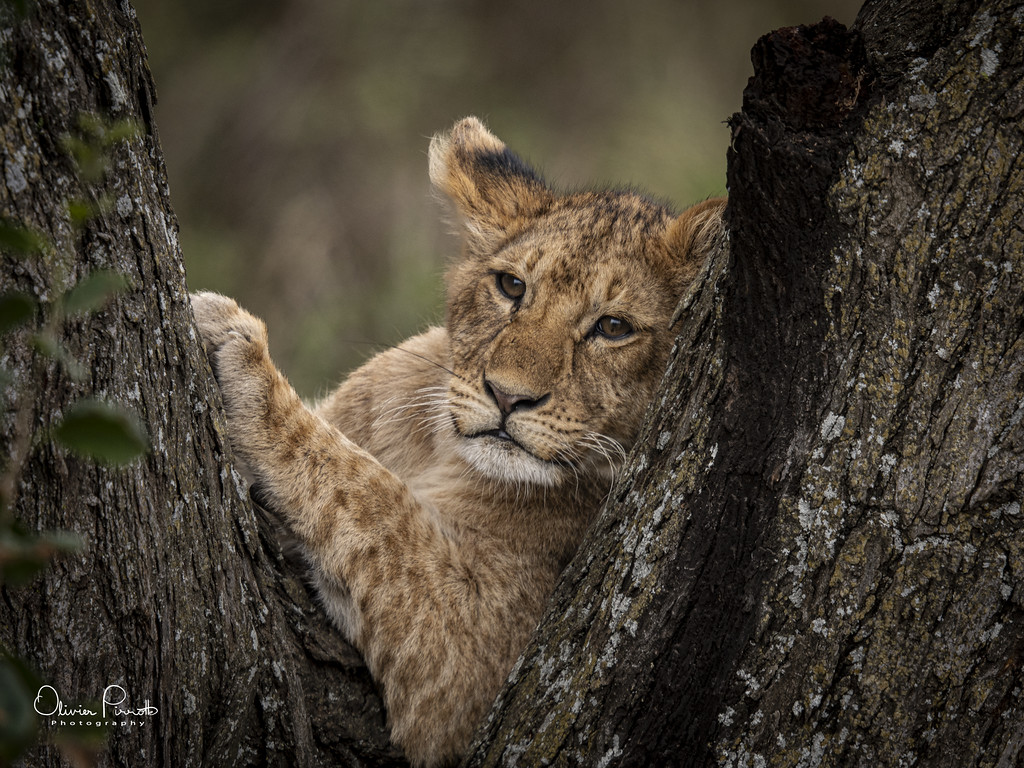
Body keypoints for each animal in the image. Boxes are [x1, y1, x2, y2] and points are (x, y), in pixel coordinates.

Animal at [191, 116, 725, 767]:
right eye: (512, 286)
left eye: (614, 328)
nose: (507, 396)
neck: (441, 450)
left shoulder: (472, 664)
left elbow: (371, 495)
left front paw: (240, 352)